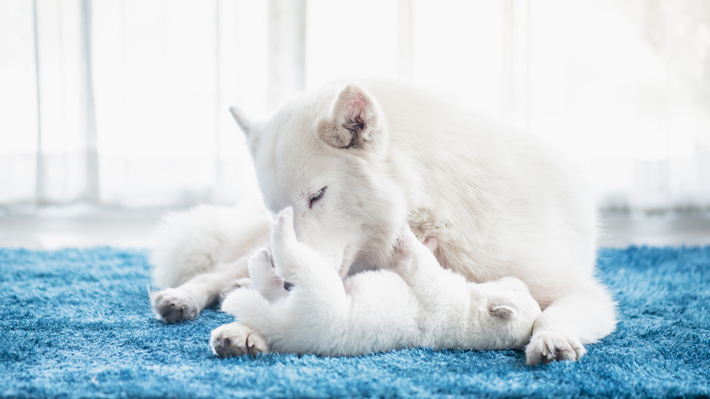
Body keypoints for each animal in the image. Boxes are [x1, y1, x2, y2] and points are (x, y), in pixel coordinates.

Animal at [210, 208, 540, 358]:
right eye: (518, 288)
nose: (517, 280)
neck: (469, 311)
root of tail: (286, 329)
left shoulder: (436, 290)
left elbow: (420, 262)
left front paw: (407, 234)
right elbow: (417, 257)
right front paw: (428, 239)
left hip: (318, 289)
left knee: (291, 263)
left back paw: (280, 228)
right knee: (270, 287)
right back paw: (259, 259)